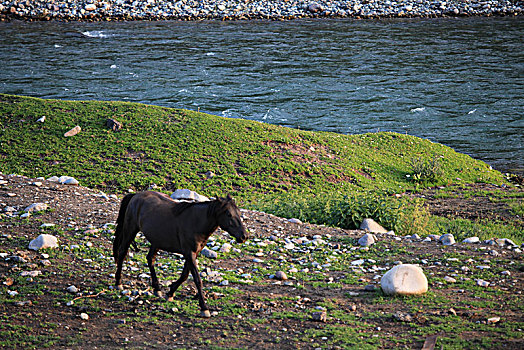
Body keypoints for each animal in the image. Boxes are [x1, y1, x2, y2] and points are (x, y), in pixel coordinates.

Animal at [113, 191, 248, 318]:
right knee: (122, 253)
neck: (196, 222)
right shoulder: (189, 253)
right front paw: (204, 308)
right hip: (130, 230)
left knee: (150, 259)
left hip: (156, 241)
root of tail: (136, 195)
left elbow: (184, 275)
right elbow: (197, 279)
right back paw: (118, 283)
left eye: (239, 213)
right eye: (229, 214)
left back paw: (157, 289)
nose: (244, 236)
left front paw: (170, 292)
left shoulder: (193, 253)